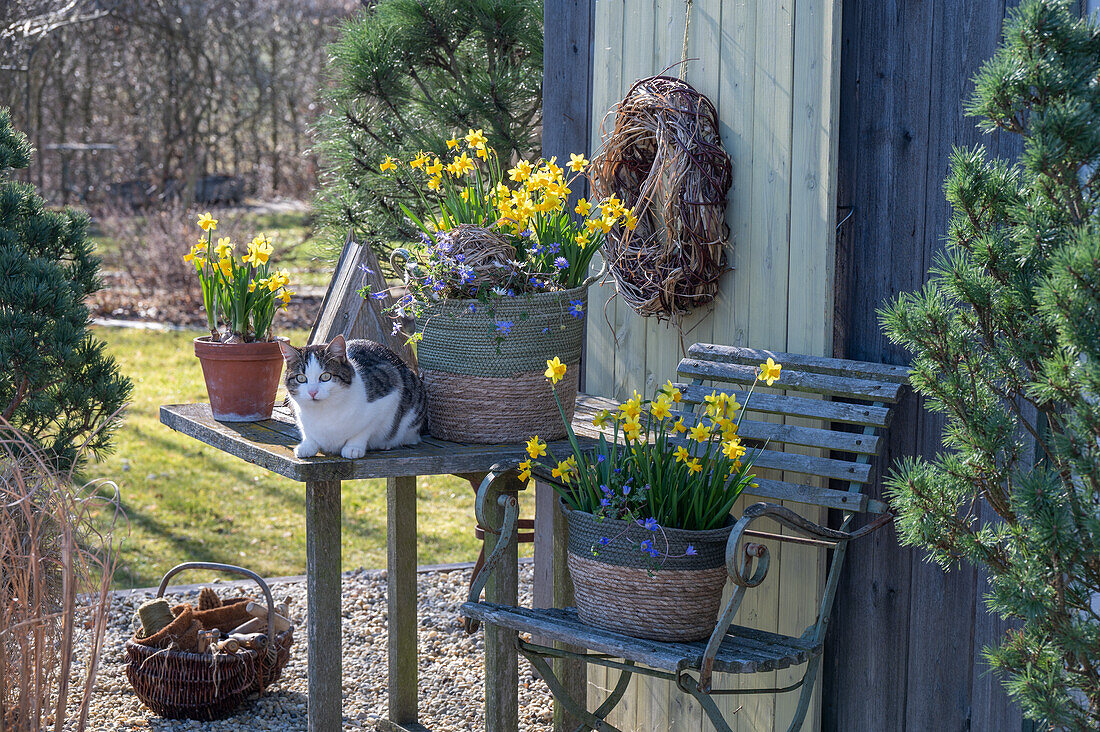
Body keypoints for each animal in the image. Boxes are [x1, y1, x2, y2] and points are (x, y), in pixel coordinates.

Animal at [277, 334, 426, 457]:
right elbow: (307, 431)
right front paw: (308, 445)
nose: (312, 392)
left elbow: (365, 429)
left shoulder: (390, 392)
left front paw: (353, 447)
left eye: (325, 376)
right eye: (301, 378)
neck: (324, 412)